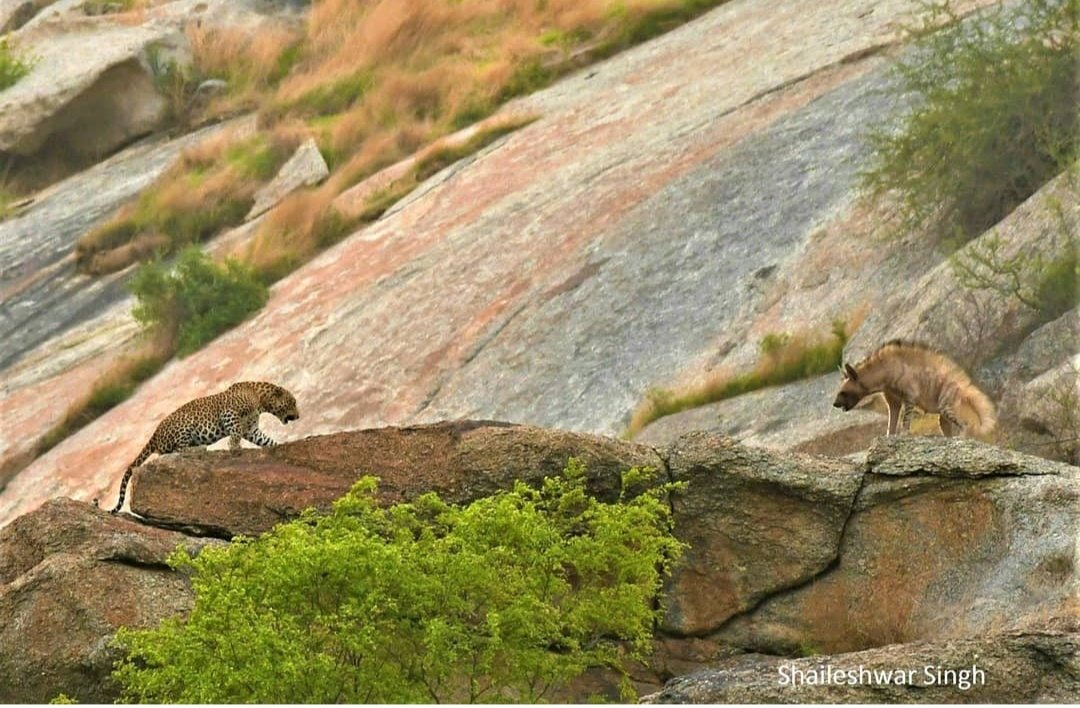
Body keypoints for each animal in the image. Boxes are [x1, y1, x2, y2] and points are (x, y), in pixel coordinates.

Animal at [99, 382, 300, 513]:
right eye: (292, 402)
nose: (298, 416)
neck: (261, 400)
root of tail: (154, 435)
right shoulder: (230, 414)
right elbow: (235, 433)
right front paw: (234, 447)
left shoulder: (252, 430)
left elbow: (266, 441)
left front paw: (281, 445)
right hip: (185, 424)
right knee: (177, 450)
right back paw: (200, 448)